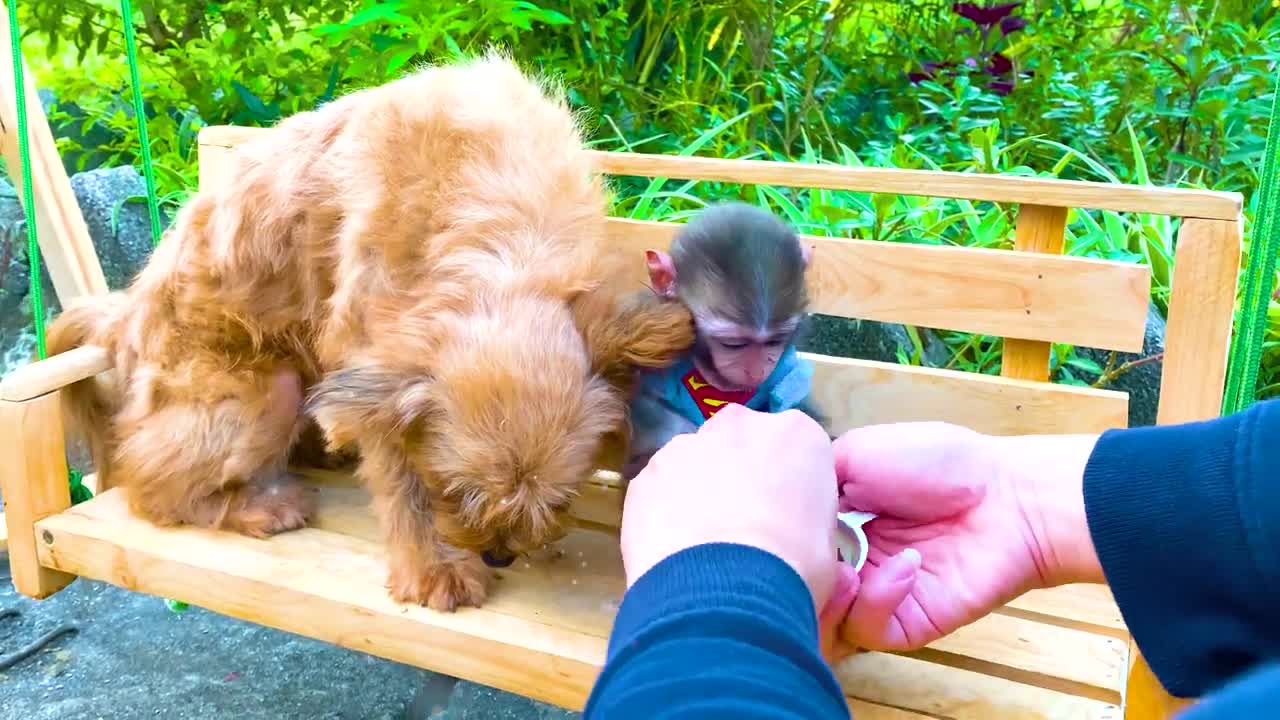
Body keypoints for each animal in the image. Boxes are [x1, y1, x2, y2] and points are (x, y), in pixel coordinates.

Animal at [47, 53, 691, 607]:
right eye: (453, 490)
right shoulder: (369, 361)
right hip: (266, 390)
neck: (501, 243)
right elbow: (399, 482)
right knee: (150, 487)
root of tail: (124, 321)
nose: (499, 554)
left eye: (559, 498)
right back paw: (262, 507)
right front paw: (430, 570)